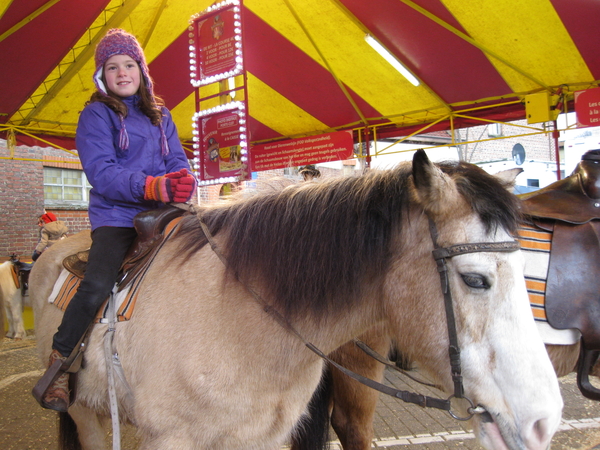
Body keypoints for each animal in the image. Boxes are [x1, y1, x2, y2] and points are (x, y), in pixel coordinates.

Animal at [31, 152, 564, 450]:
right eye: (475, 280)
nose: (544, 422)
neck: (237, 323)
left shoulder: (259, 439)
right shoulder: (172, 439)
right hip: (81, 411)